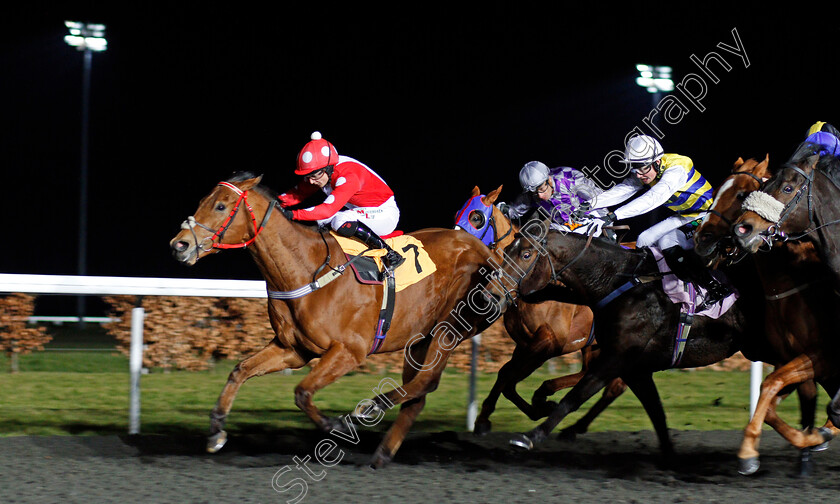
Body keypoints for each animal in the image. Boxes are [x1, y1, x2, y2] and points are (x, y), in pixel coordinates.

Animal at [171, 171, 498, 466]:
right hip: (419, 338)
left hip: (450, 328)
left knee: (426, 381)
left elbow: (302, 392)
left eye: (220, 206)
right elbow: (240, 370)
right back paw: (382, 453)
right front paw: (216, 431)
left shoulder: (349, 351)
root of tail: (482, 248)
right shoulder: (293, 349)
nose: (179, 245)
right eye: (203, 202)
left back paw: (371, 409)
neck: (306, 268)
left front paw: (336, 425)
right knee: (417, 396)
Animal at [456, 186, 628, 438]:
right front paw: (484, 419)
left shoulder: (549, 343)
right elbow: (505, 376)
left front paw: (540, 406)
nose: (457, 245)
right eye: (458, 212)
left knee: (608, 382)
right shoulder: (525, 343)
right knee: (598, 377)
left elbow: (508, 375)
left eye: (476, 217)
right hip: (595, 344)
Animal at [692, 156, 836, 474]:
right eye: (717, 190)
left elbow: (773, 387)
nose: (702, 239)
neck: (793, 284)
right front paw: (808, 443)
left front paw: (749, 453)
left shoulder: (820, 355)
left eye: (741, 194)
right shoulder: (789, 358)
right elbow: (770, 399)